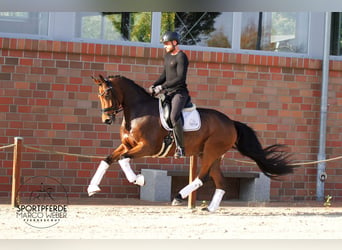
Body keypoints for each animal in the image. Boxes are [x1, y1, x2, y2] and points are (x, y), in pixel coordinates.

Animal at [88, 74, 296, 213]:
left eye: (107, 94)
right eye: (99, 95)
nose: (106, 120)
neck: (138, 111)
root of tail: (231, 122)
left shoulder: (147, 147)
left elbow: (123, 160)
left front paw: (138, 179)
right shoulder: (127, 145)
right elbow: (107, 160)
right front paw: (92, 188)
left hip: (211, 152)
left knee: (203, 176)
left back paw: (179, 197)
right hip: (211, 155)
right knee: (220, 181)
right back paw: (210, 208)